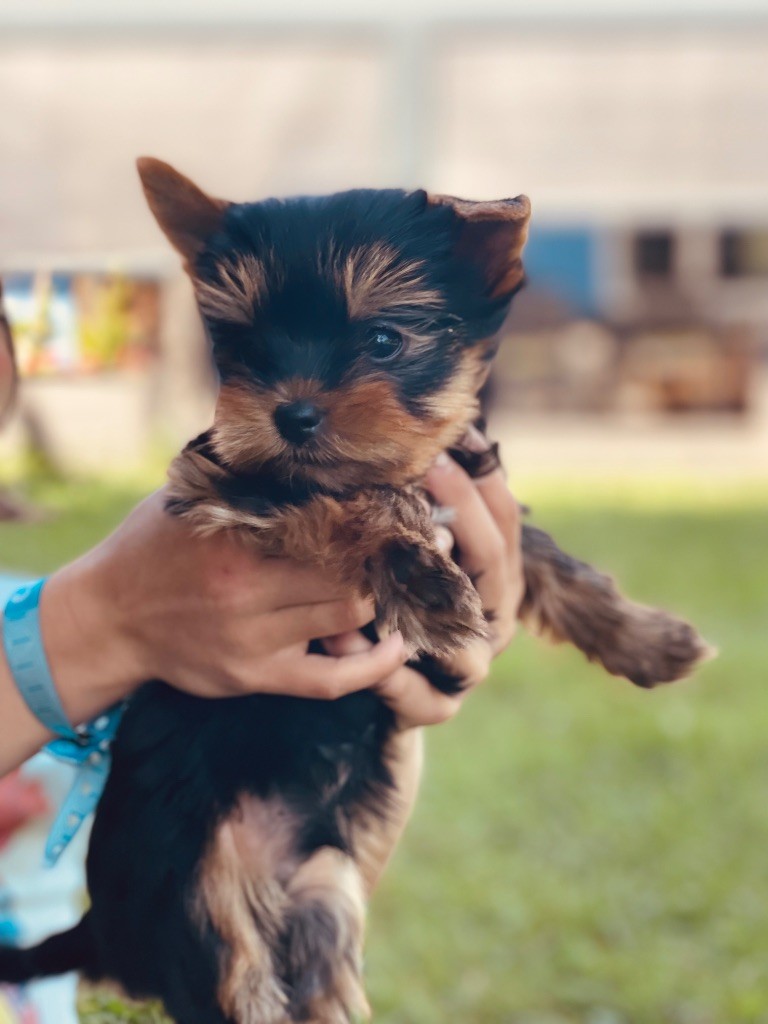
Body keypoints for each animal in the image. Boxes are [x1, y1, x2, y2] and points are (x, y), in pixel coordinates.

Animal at [0, 160, 710, 1024]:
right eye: (243, 346)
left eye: (382, 340)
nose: (292, 414)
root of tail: (99, 928)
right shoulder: (228, 482)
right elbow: (351, 503)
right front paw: (425, 581)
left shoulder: (469, 491)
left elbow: (546, 558)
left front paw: (651, 640)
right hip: (195, 892)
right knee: (234, 976)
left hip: (322, 882)